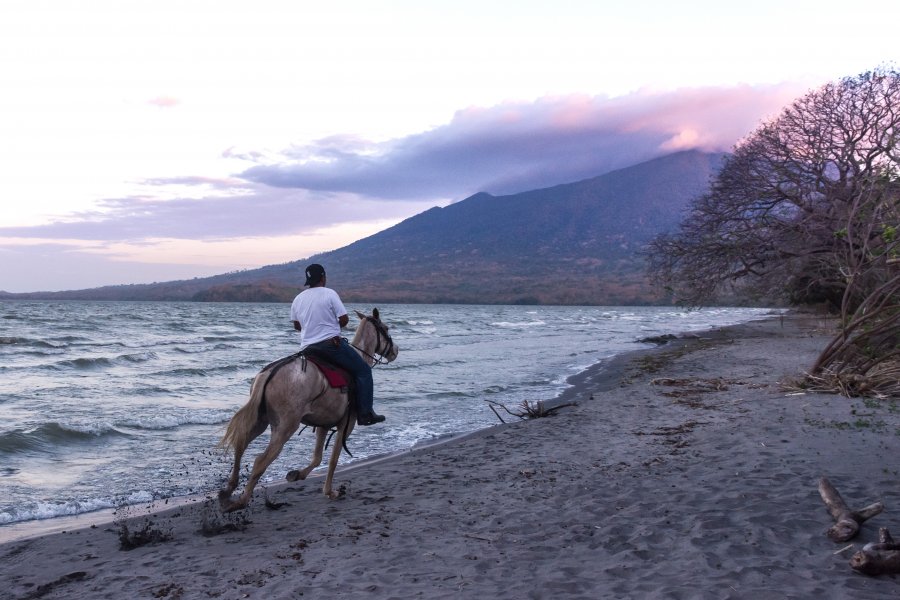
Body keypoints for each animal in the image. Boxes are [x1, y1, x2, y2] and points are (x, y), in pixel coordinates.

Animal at [218, 310, 398, 510]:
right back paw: (241, 501)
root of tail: (270, 373)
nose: (395, 351)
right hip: (285, 427)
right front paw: (330, 491)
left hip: (261, 421)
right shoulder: (346, 424)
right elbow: (333, 459)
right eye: (386, 328)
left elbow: (317, 457)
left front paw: (297, 475)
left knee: (240, 445)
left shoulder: (323, 425)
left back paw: (227, 491)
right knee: (260, 461)